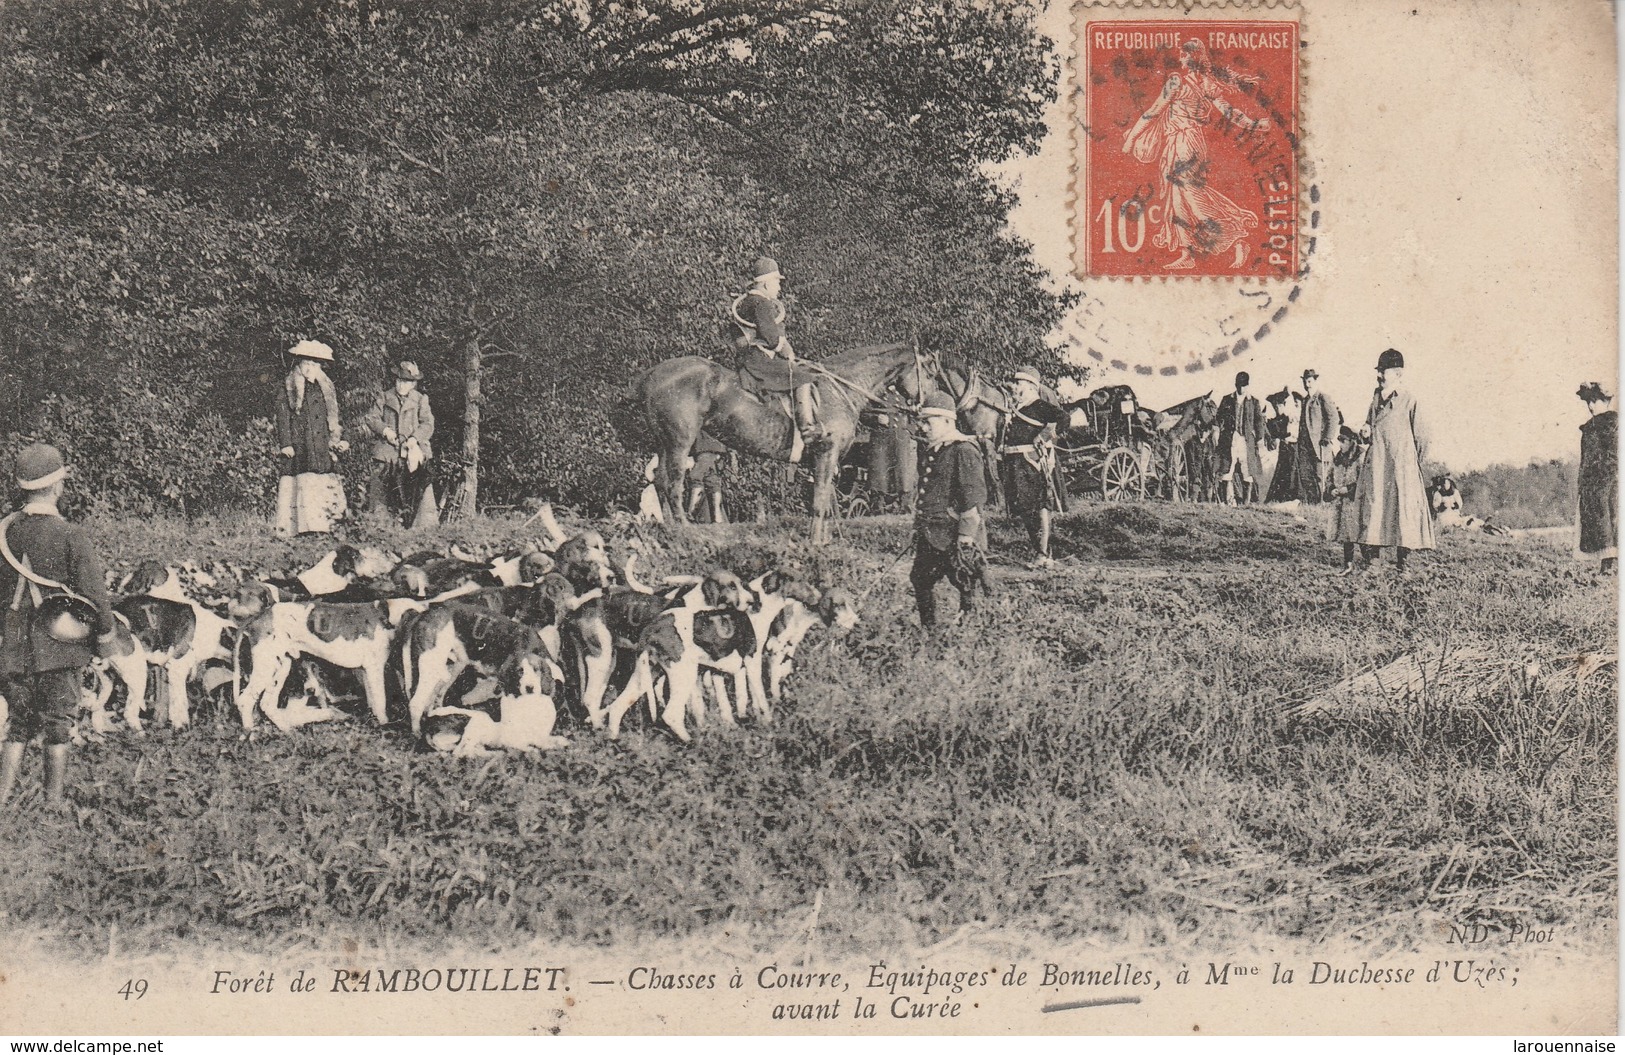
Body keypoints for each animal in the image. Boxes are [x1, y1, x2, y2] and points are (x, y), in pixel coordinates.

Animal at [627, 346, 936, 542]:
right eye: (931, 372)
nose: (929, 408)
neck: (842, 388)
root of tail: (651, 374)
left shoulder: (824, 460)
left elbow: (826, 501)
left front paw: (825, 538)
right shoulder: (827, 453)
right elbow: (820, 502)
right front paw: (815, 542)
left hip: (664, 442)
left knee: (660, 480)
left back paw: (668, 528)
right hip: (680, 441)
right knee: (675, 483)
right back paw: (683, 528)